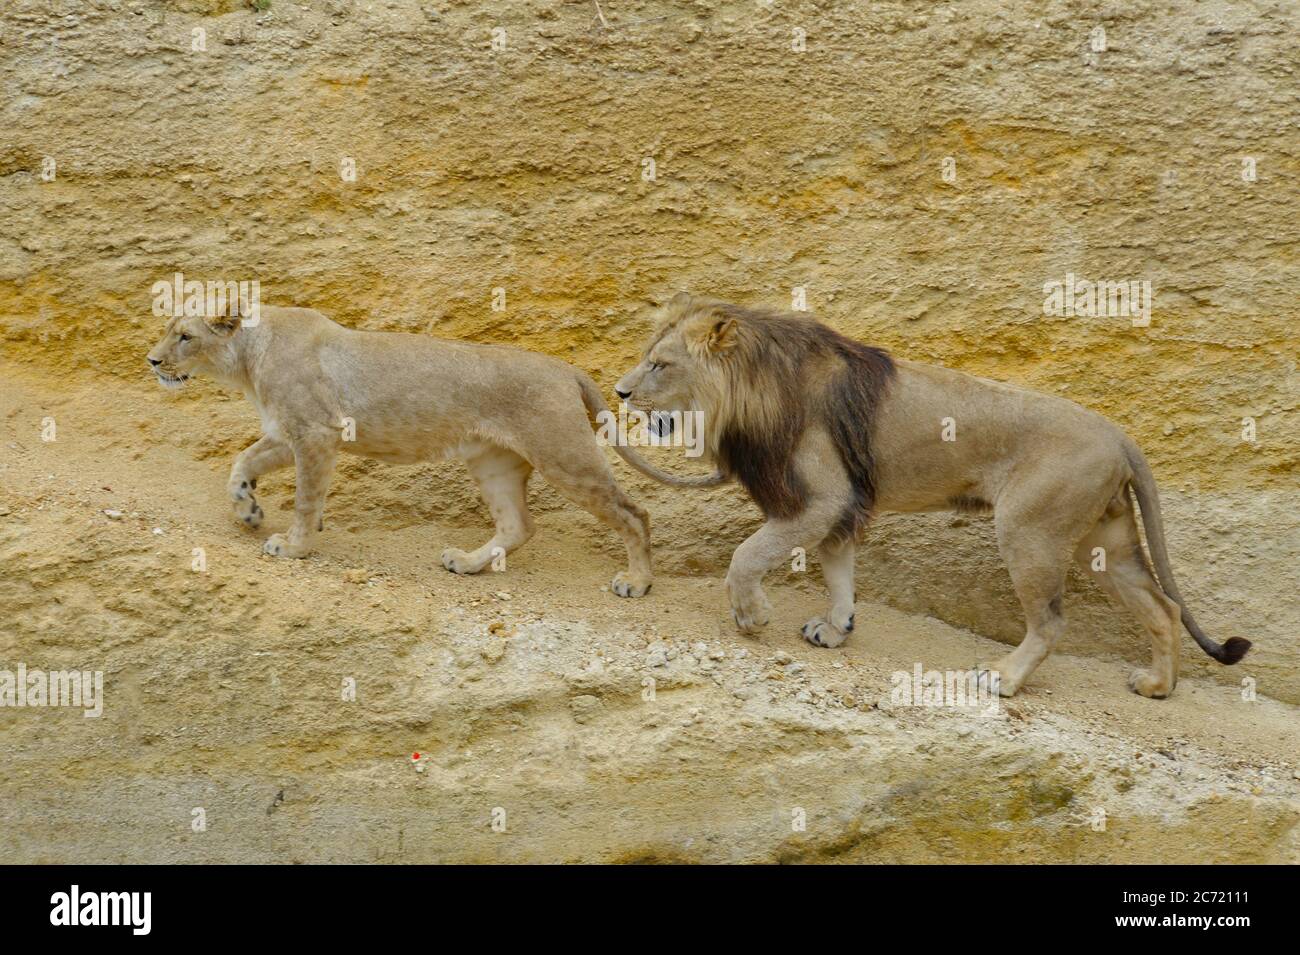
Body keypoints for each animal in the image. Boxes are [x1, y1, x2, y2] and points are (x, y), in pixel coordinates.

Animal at [148, 306, 728, 595]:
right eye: (169, 331)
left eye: (184, 336)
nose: (152, 360)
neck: (247, 360)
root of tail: (566, 368)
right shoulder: (289, 432)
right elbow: (241, 461)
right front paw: (247, 509)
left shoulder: (316, 433)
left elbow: (307, 499)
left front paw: (293, 547)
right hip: (492, 462)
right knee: (519, 524)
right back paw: (467, 563)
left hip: (564, 455)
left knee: (634, 513)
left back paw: (637, 582)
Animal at [613, 291, 1253, 696]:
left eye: (660, 364)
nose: (618, 392)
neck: (752, 388)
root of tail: (1121, 435)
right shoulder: (841, 506)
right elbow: (839, 572)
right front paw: (836, 629)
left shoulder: (821, 499)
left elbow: (747, 556)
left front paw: (751, 617)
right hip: (1106, 540)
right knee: (1163, 608)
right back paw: (1158, 686)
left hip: (1029, 531)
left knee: (1050, 621)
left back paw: (1003, 678)